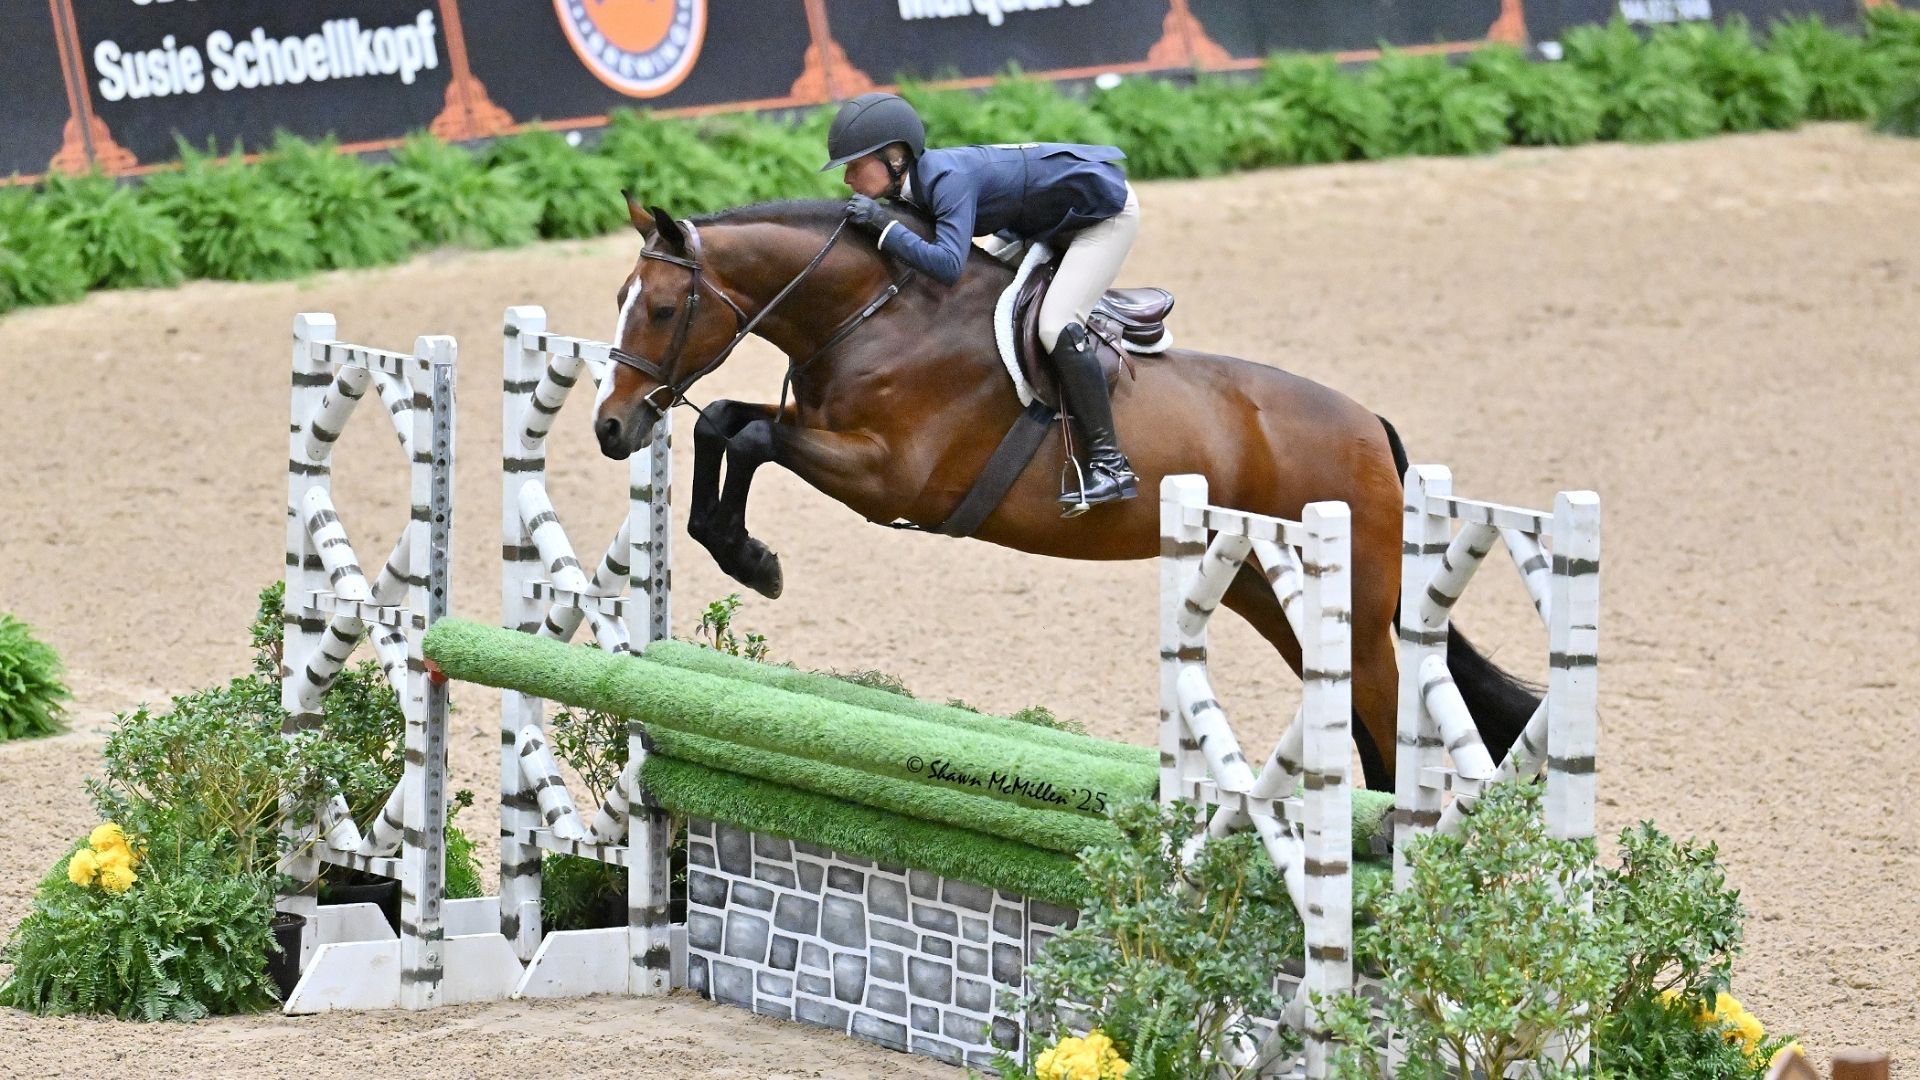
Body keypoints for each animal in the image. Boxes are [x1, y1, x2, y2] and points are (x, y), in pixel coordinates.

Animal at [591, 195, 1535, 792]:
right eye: (620, 297)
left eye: (665, 308)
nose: (611, 427)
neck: (879, 311)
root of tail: (1371, 426)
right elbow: (723, 421)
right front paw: (737, 548)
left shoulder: (886, 475)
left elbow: (744, 432)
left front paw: (754, 560)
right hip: (1267, 592)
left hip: (1357, 609)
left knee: (1387, 714)